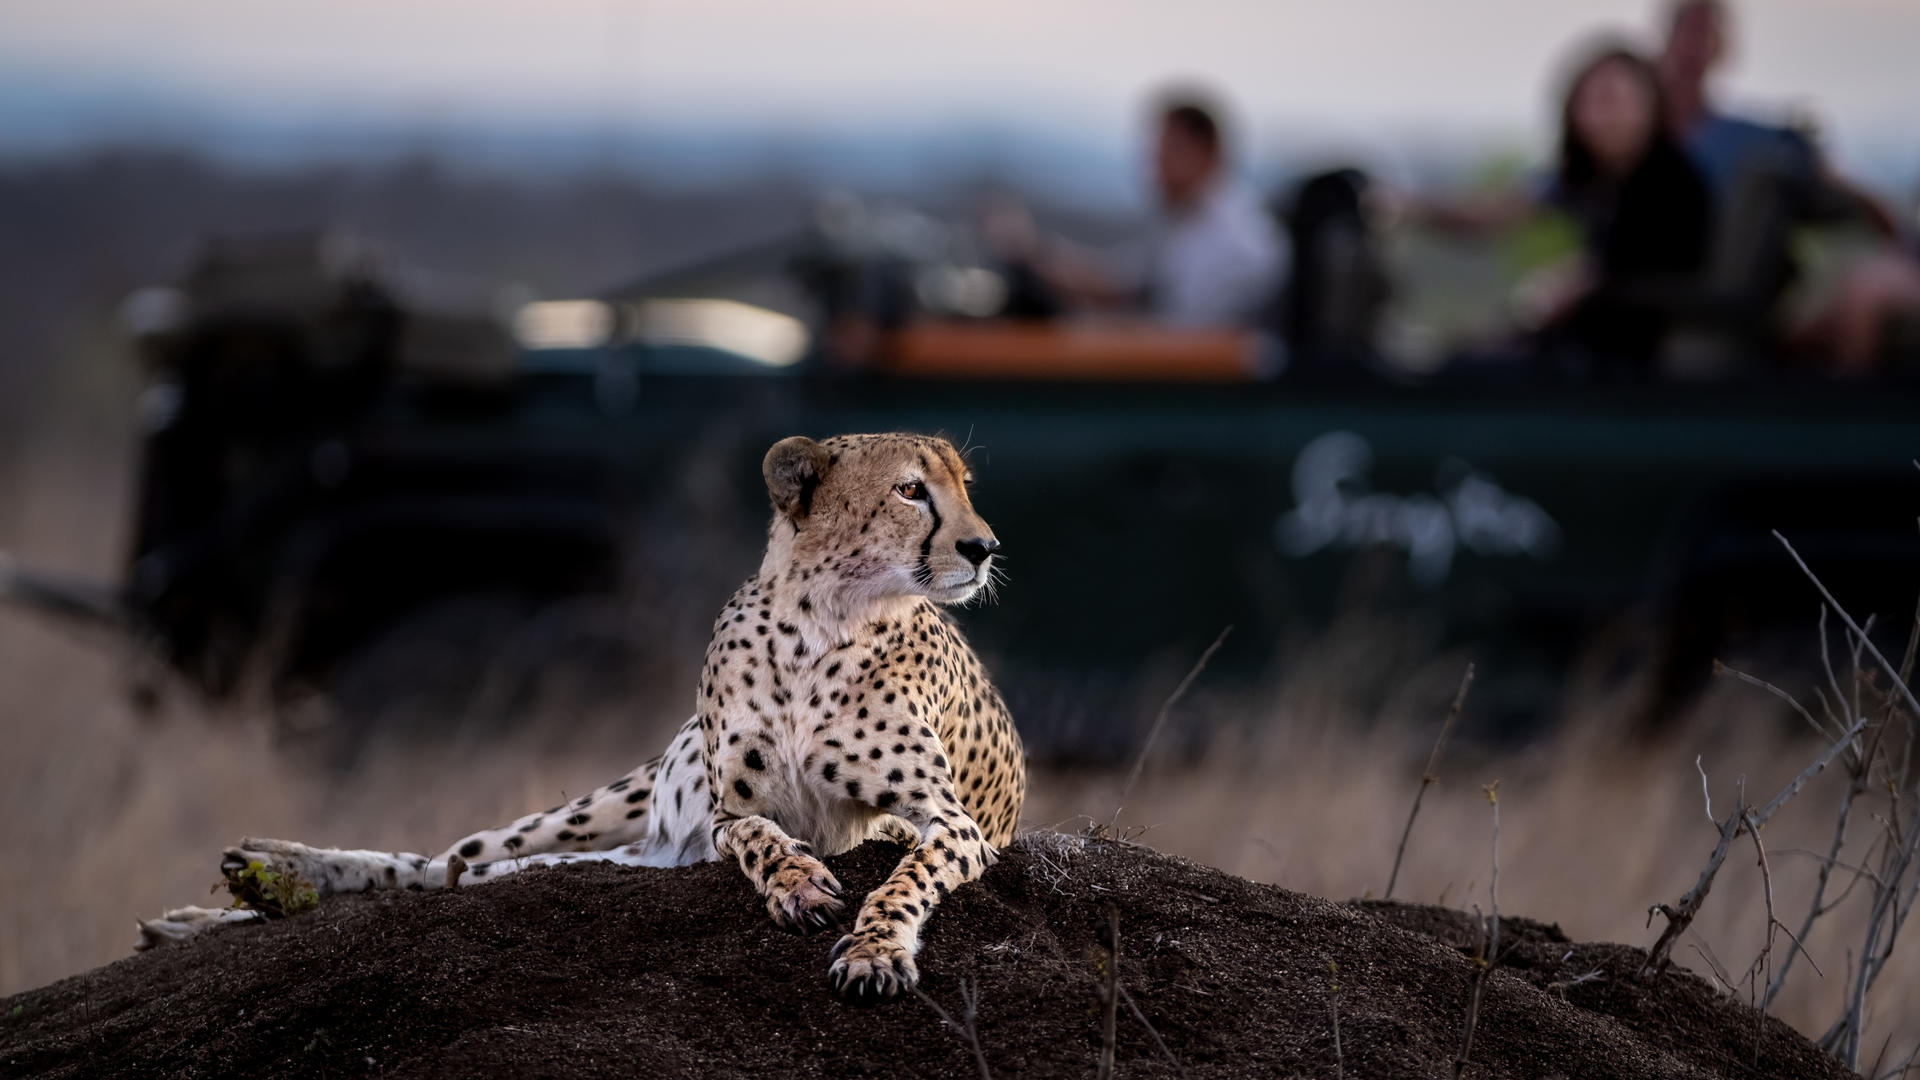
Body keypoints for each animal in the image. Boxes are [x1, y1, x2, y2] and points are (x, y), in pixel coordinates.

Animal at [137, 432, 1025, 1002]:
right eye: (911, 490)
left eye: (966, 487)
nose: (984, 547)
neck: (821, 620)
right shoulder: (728, 810)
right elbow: (759, 836)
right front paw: (799, 882)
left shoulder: (944, 821)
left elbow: (902, 878)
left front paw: (875, 953)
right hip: (613, 812)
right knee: (447, 864)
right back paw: (262, 881)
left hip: (641, 853)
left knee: (472, 875)